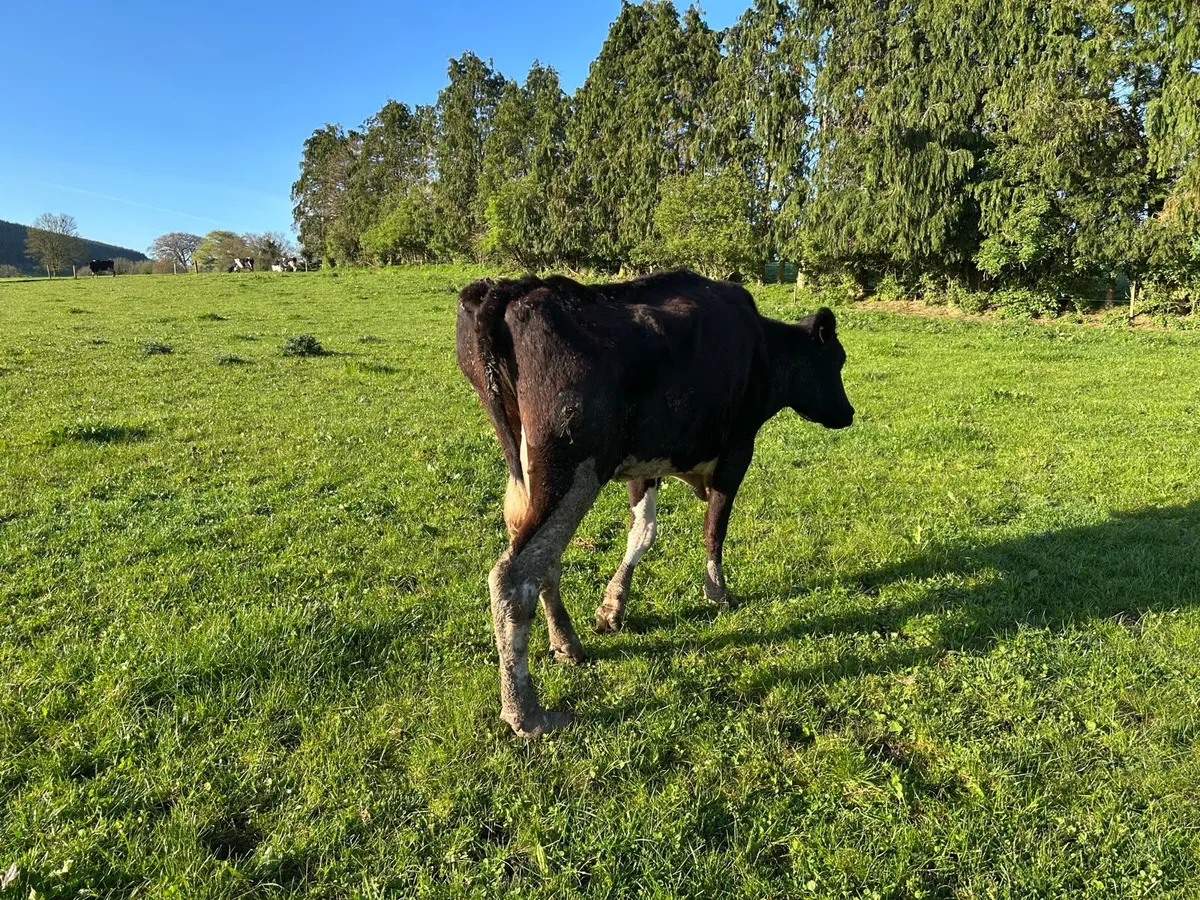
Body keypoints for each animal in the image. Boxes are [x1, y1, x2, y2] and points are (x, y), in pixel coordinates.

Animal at [456, 270, 854, 737]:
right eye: (837, 362)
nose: (849, 413)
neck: (764, 347)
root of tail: (512, 289)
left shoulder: (646, 464)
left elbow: (643, 532)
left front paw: (613, 605)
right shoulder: (737, 451)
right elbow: (715, 527)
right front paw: (717, 592)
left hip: (529, 476)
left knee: (543, 561)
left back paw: (567, 643)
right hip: (573, 468)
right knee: (515, 575)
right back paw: (526, 712)